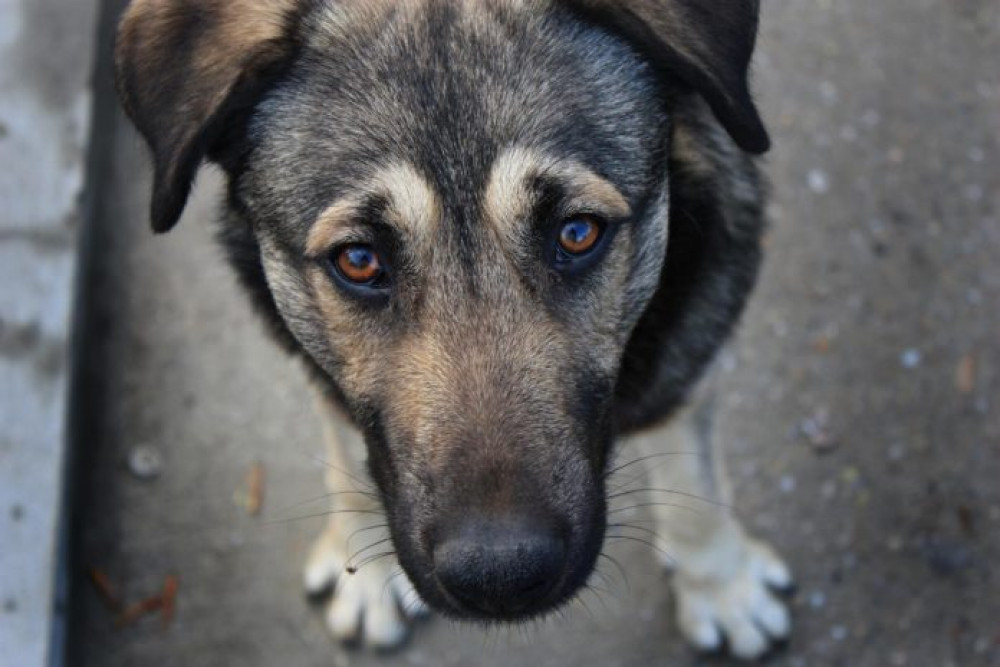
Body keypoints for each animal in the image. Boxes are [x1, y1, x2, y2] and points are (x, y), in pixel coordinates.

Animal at [115, 0, 788, 656]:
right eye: (358, 260)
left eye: (578, 232)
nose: (501, 577)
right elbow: (347, 448)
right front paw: (367, 570)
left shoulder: (690, 341)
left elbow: (695, 477)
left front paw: (721, 585)